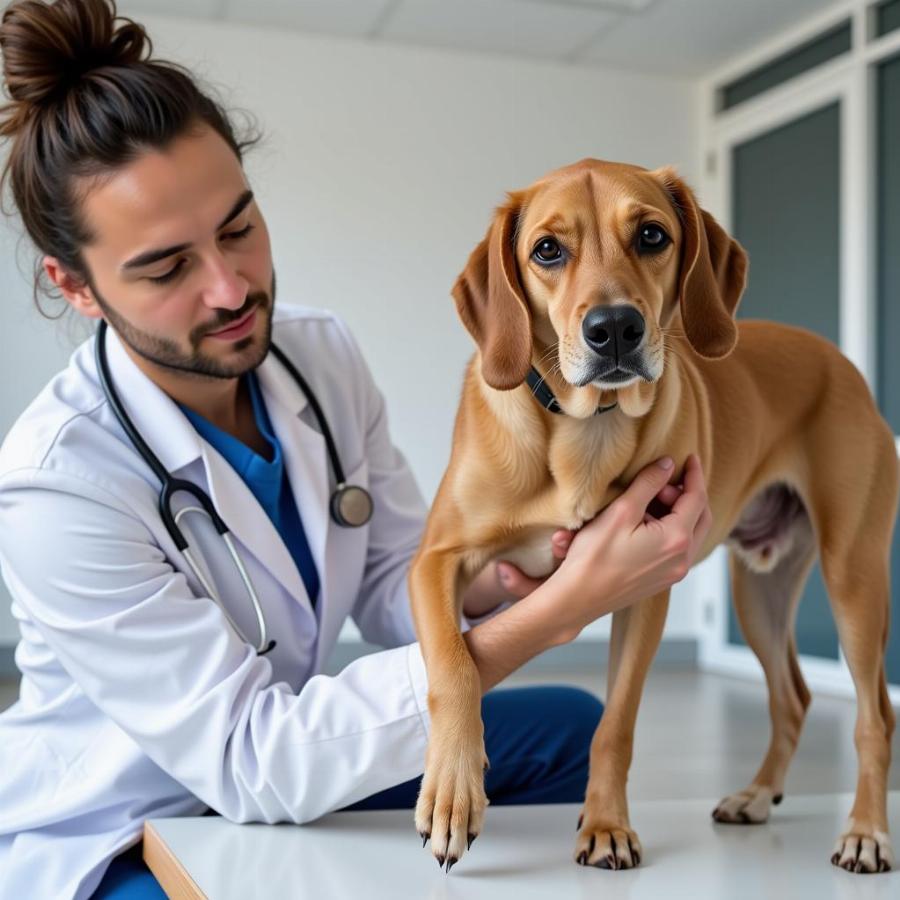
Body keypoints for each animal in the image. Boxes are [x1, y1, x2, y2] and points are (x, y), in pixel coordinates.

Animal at [410, 158, 900, 876]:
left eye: (650, 235)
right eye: (547, 250)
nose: (614, 328)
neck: (583, 432)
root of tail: (840, 362)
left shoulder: (643, 586)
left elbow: (614, 725)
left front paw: (607, 825)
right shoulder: (437, 561)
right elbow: (453, 668)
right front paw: (452, 792)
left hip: (853, 577)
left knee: (873, 715)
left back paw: (865, 831)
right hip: (758, 592)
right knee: (793, 698)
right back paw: (757, 796)